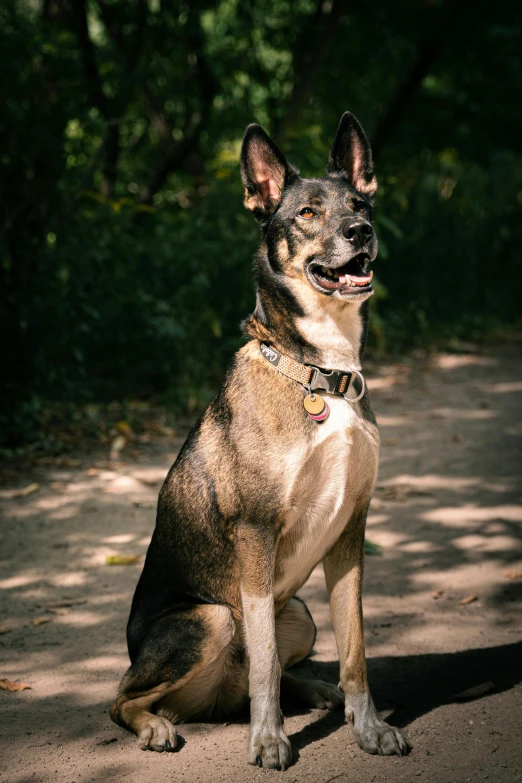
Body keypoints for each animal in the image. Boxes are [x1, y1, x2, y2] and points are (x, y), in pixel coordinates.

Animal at [110, 113, 410, 768]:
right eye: (306, 212)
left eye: (359, 203)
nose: (361, 232)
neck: (319, 370)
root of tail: (216, 699)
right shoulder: (255, 531)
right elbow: (266, 662)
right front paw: (269, 739)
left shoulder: (351, 527)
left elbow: (355, 651)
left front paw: (369, 727)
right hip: (211, 619)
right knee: (122, 698)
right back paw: (156, 726)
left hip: (298, 611)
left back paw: (317, 692)